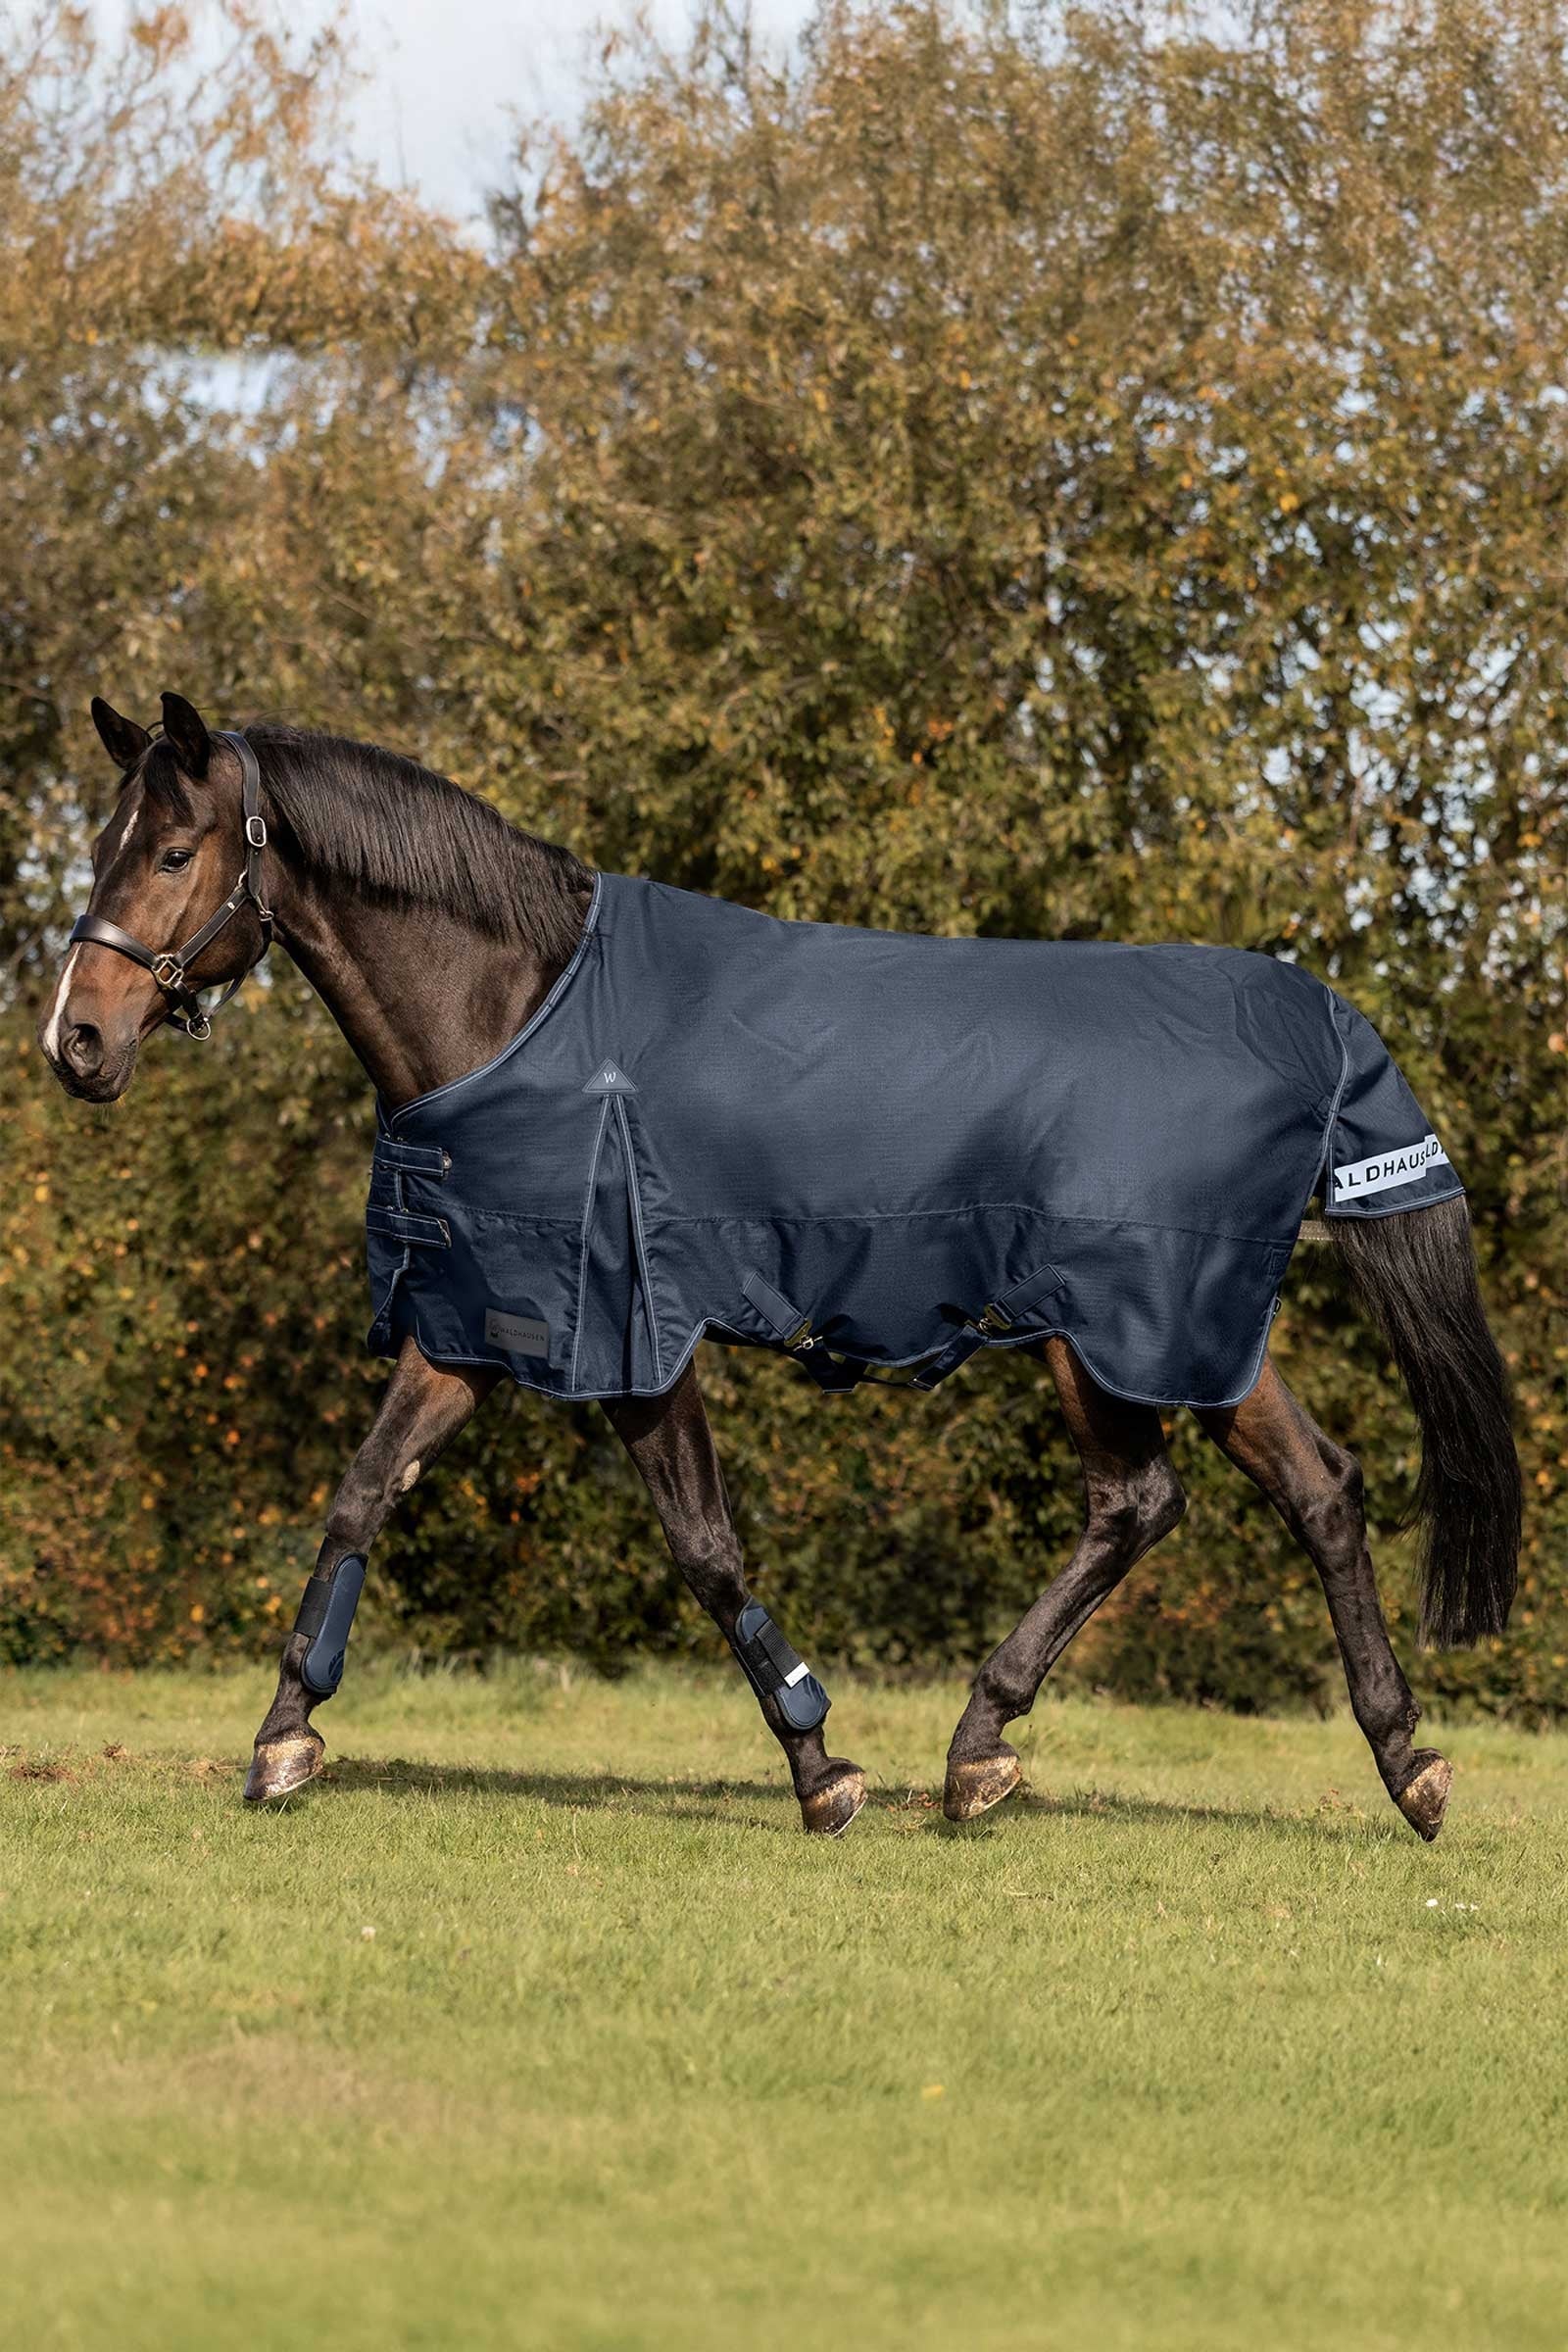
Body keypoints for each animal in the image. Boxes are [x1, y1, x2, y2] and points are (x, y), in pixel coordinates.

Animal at [38, 690, 1522, 1840]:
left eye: (171, 850)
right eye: (104, 842)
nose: (76, 1042)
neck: (525, 1016)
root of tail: (1310, 1025)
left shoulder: (635, 1339)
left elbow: (704, 1547)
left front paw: (821, 1768)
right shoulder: (478, 1325)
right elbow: (360, 1495)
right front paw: (283, 1738)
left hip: (1122, 1328)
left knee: (1161, 1501)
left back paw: (1007, 1749)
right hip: (1171, 1335)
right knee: (1288, 1492)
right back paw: (1372, 1761)